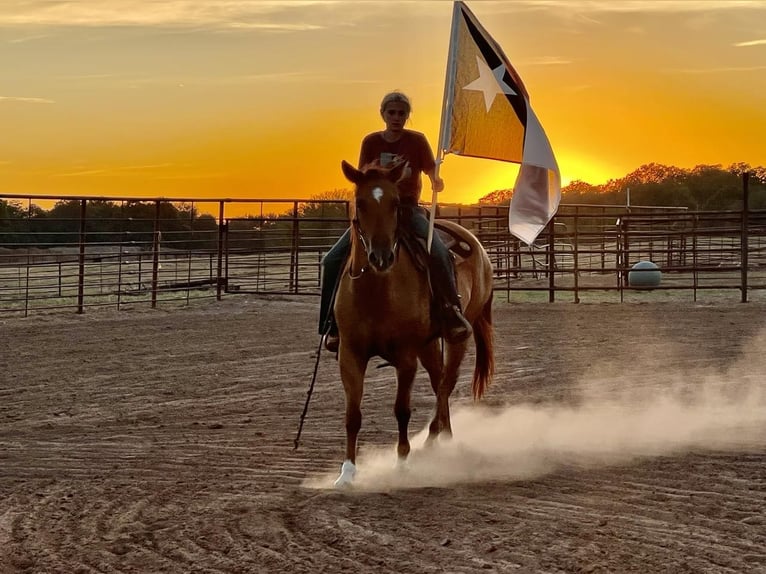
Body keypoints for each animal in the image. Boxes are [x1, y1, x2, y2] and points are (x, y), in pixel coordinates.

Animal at [332, 160, 496, 488]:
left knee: (446, 382)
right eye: (360, 202)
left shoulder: (406, 356)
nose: (381, 257)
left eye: (396, 203)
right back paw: (442, 436)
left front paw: (402, 463)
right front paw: (347, 472)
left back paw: (435, 438)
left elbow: (402, 409)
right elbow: (352, 415)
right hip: (429, 344)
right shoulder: (350, 354)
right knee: (438, 380)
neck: (376, 291)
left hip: (459, 335)